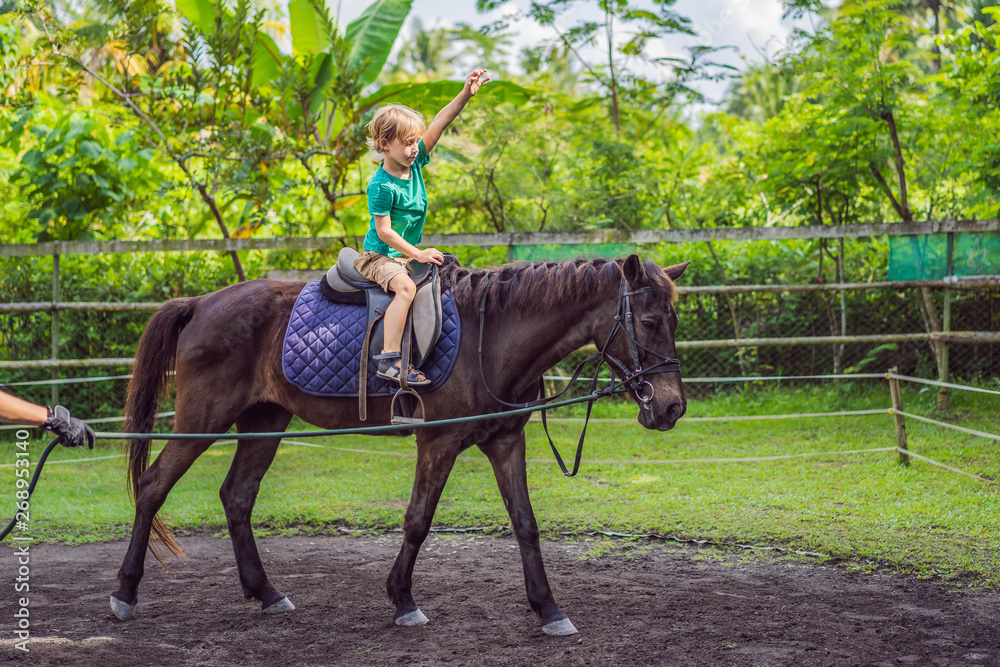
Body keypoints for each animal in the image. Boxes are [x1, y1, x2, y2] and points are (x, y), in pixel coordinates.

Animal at [111, 254, 688, 636]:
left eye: (674, 321)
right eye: (650, 322)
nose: (672, 407)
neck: (491, 336)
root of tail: (201, 303)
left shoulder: (505, 441)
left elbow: (525, 524)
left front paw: (549, 609)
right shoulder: (438, 443)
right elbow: (417, 521)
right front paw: (403, 600)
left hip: (264, 421)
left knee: (237, 495)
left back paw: (267, 593)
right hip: (201, 420)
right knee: (154, 485)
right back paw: (124, 592)